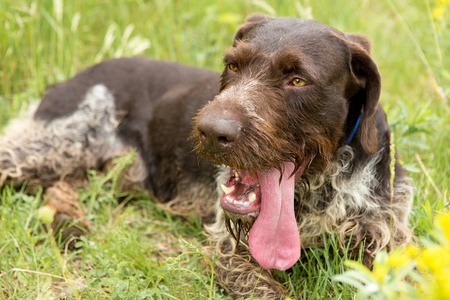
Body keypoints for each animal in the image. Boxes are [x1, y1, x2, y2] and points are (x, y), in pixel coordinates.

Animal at [0, 15, 414, 298]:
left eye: (297, 80)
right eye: (233, 65)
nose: (212, 131)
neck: (317, 190)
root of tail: (68, 79)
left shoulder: (387, 237)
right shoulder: (228, 251)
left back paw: (69, 223)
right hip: (57, 144)